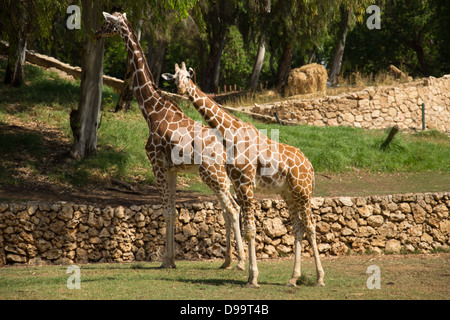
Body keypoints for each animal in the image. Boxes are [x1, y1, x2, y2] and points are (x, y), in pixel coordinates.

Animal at [92, 13, 244, 272]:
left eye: (108, 22)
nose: (96, 33)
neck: (152, 111)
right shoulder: (172, 170)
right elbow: (172, 209)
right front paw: (171, 260)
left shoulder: (157, 165)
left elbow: (166, 211)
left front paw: (165, 261)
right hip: (221, 175)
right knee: (230, 208)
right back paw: (228, 261)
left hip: (212, 173)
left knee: (233, 209)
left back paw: (241, 263)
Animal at [163, 62, 326, 288]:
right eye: (174, 78)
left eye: (188, 76)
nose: (180, 89)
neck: (229, 134)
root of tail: (310, 166)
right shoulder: (238, 185)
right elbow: (244, 225)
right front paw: (250, 275)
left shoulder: (247, 184)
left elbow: (250, 229)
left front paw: (253, 278)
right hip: (288, 193)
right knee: (298, 227)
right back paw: (293, 278)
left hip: (303, 191)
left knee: (311, 225)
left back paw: (319, 278)